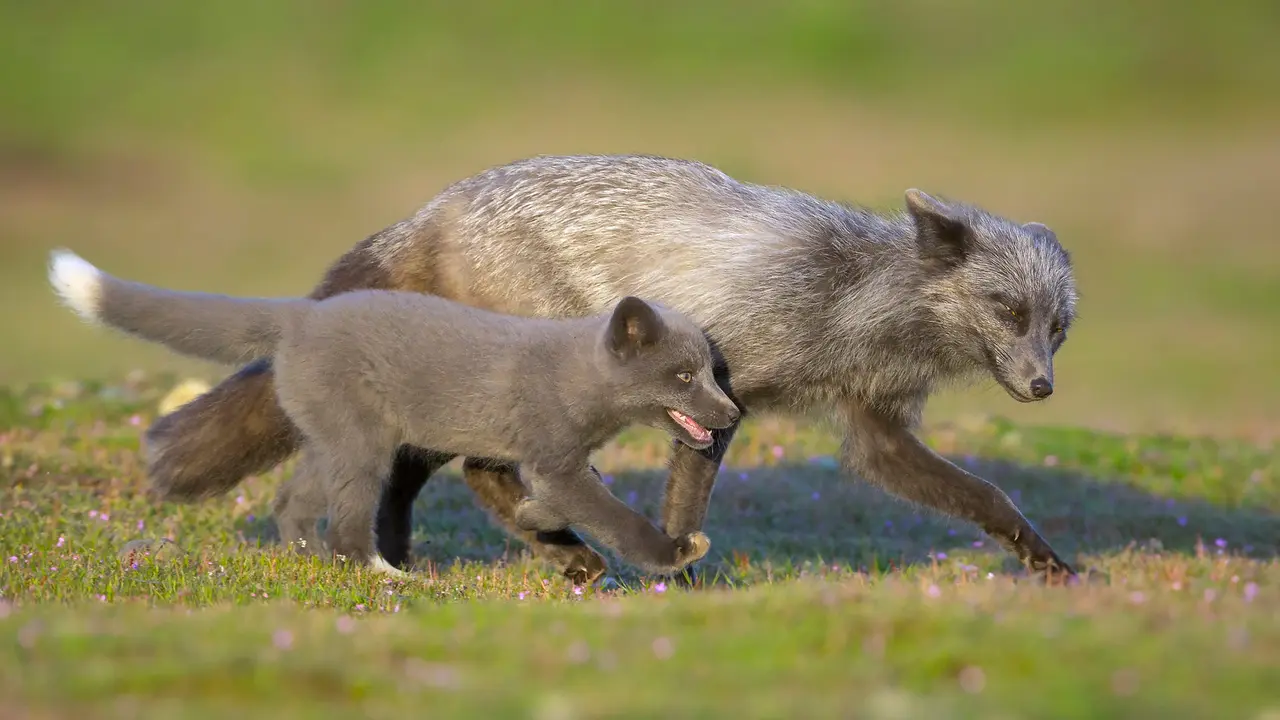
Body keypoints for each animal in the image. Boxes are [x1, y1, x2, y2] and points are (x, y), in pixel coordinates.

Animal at [47, 249, 741, 575]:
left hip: (330, 439)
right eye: (683, 377)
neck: (575, 374)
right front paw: (673, 552)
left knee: (292, 502)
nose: (729, 412)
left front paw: (534, 518)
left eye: (713, 370)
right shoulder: (553, 455)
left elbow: (556, 503)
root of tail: (303, 315)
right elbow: (610, 515)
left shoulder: (552, 463)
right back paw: (383, 574)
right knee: (348, 523)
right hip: (364, 446)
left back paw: (310, 562)